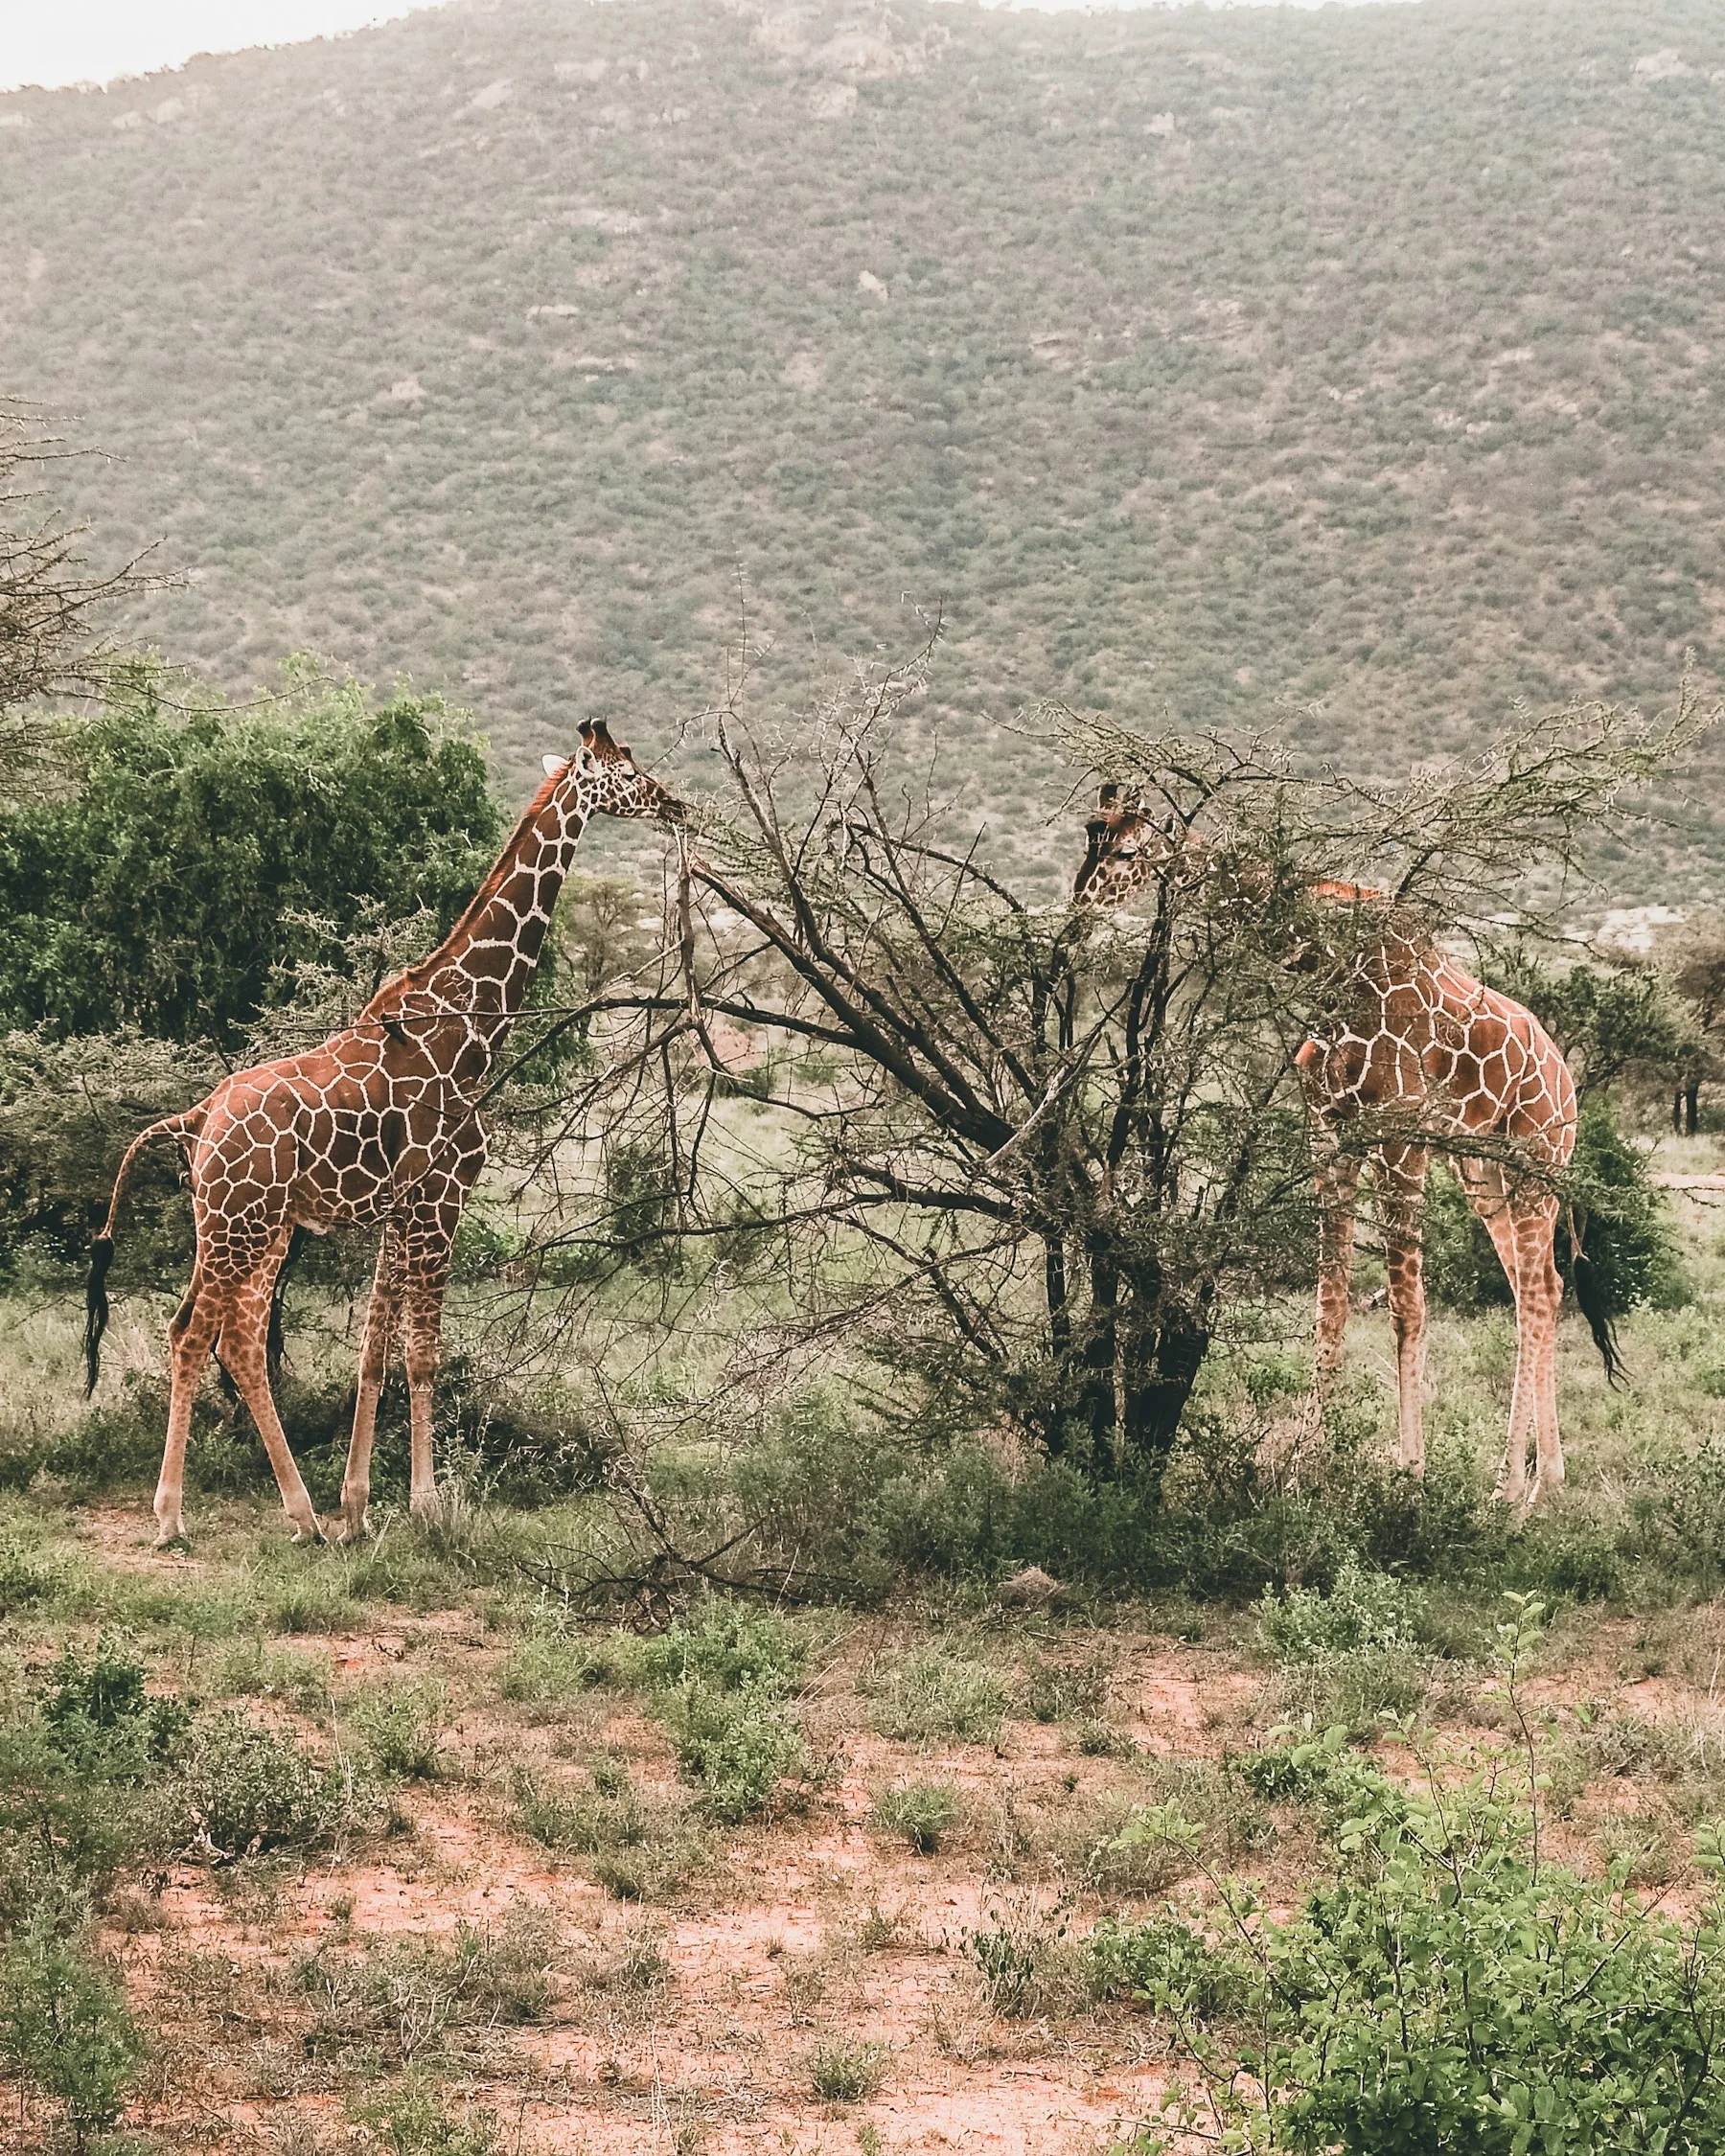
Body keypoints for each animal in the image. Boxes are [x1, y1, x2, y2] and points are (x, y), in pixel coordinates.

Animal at [84, 722, 682, 1549]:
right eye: (626, 771)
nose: (675, 802)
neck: (470, 1027)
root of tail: (197, 1119)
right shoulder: (440, 1198)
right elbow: (423, 1353)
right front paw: (426, 1505)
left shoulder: (398, 1211)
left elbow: (372, 1352)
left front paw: (359, 1506)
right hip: (241, 1223)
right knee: (197, 1334)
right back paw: (177, 1515)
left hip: (248, 1226)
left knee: (225, 1335)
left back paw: (303, 1515)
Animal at [1071, 785, 1622, 1503]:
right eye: (1088, 837)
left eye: (1128, 851)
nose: (1078, 906)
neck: (1331, 969)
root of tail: (1566, 1080)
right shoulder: (1329, 1133)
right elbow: (1329, 1303)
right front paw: (1308, 1467)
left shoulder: (1399, 1136)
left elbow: (1406, 1307)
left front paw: (1410, 1473)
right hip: (1484, 1172)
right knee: (1545, 1288)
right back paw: (1543, 1483)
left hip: (1537, 1163)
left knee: (1533, 1294)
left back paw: (1511, 1490)